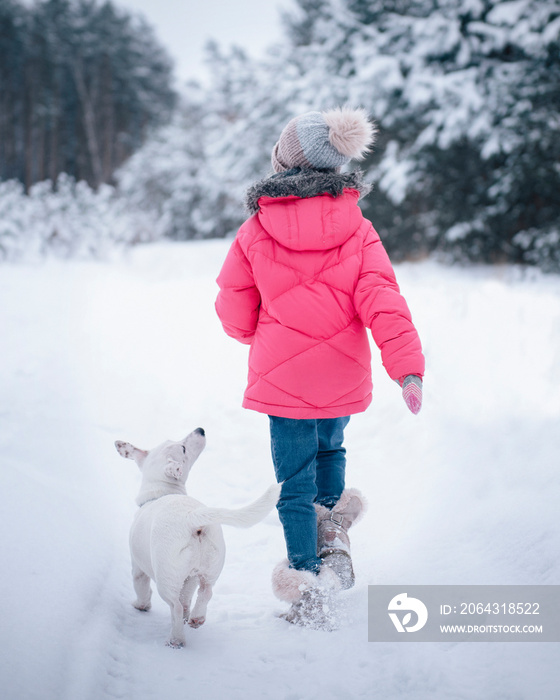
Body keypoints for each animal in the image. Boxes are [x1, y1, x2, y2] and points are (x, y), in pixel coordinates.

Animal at [116, 424, 280, 648]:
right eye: (183, 448)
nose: (200, 429)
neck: (160, 493)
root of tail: (191, 518)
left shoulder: (138, 567)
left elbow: (141, 588)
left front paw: (140, 606)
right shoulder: (190, 577)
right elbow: (187, 597)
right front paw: (188, 615)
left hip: (166, 579)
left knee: (175, 606)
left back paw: (176, 640)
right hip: (209, 567)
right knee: (205, 592)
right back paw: (196, 618)